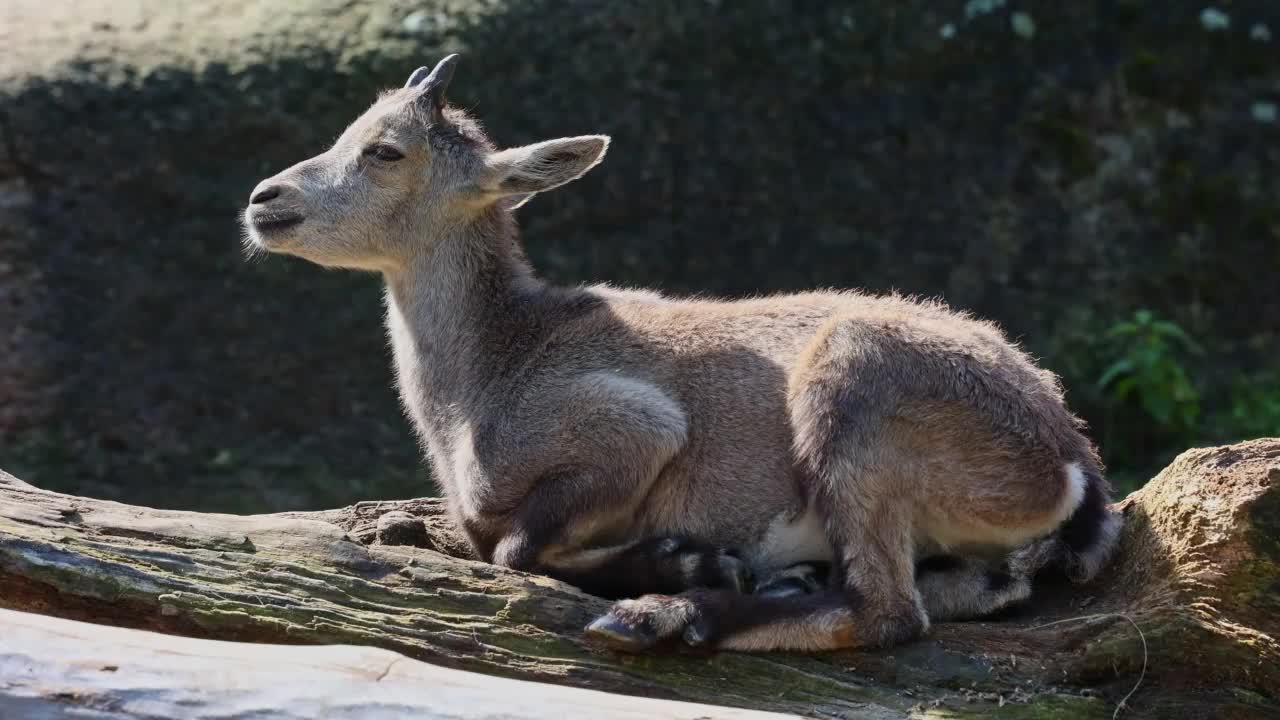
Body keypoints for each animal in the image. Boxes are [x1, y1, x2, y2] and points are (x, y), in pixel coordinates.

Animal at [241, 56, 1121, 650]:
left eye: (386, 150)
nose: (264, 200)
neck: (494, 365)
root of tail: (1071, 460)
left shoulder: (633, 425)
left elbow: (517, 548)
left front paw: (680, 562)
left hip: (855, 391)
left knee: (889, 613)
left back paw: (668, 615)